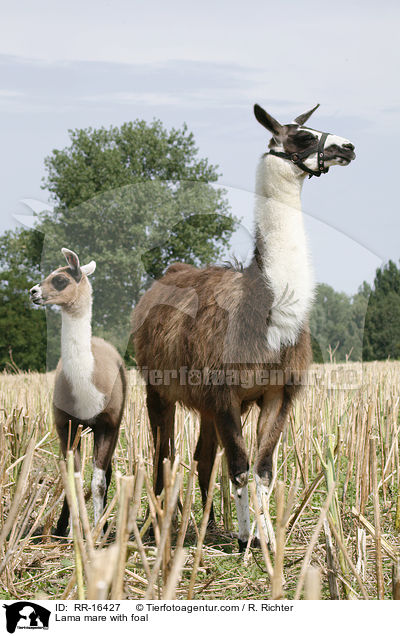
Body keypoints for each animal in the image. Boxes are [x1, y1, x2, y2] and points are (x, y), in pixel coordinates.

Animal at [29, 248, 126, 536]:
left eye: (60, 280)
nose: (33, 291)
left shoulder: (109, 424)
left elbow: (99, 483)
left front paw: (97, 533)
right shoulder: (67, 426)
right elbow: (73, 479)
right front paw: (73, 533)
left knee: (106, 473)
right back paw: (64, 527)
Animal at [132, 102, 356, 548]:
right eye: (302, 136)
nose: (348, 147)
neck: (268, 307)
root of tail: (172, 271)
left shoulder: (276, 392)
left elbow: (263, 470)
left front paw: (264, 538)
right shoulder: (226, 391)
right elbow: (238, 468)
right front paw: (244, 539)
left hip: (203, 401)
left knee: (202, 459)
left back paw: (206, 523)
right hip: (159, 388)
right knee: (164, 455)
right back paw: (162, 525)